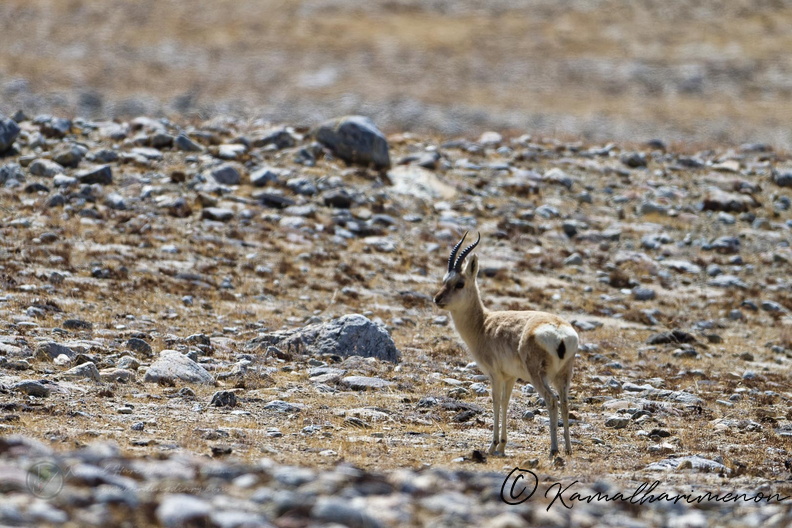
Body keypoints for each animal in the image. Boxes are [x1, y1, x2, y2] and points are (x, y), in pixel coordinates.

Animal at [433, 232, 578, 457]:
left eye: (460, 283)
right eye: (444, 280)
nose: (437, 299)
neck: (483, 324)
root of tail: (560, 331)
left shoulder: (494, 374)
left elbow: (495, 402)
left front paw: (492, 445)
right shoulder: (510, 376)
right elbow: (506, 402)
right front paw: (502, 445)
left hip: (539, 376)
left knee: (551, 400)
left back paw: (553, 449)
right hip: (563, 376)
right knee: (564, 403)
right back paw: (568, 449)